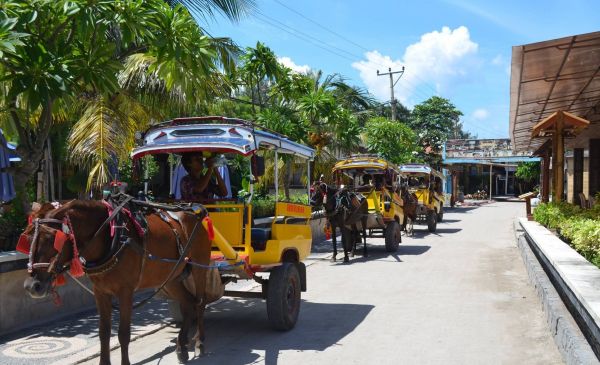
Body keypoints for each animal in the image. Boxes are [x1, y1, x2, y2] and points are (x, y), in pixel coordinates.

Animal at [19, 199, 212, 364]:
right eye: (28, 239)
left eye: (52, 239)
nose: (31, 286)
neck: (111, 238)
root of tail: (194, 211)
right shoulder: (100, 292)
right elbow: (104, 332)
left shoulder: (125, 292)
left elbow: (123, 334)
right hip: (170, 277)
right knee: (188, 302)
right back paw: (181, 347)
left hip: (199, 267)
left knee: (200, 302)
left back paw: (199, 343)